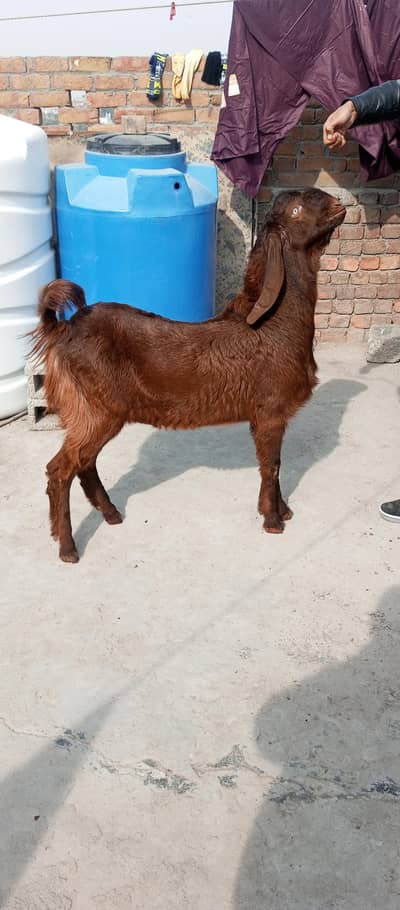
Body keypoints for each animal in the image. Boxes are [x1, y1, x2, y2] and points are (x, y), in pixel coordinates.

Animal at [30, 188, 346, 562]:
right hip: (94, 409)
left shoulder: (267, 417)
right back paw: (67, 547)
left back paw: (111, 515)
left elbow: (273, 464)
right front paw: (273, 521)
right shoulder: (270, 413)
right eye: (297, 211)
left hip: (94, 412)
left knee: (84, 463)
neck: (273, 325)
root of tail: (63, 329)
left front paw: (280, 510)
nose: (340, 204)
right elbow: (272, 465)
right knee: (60, 468)